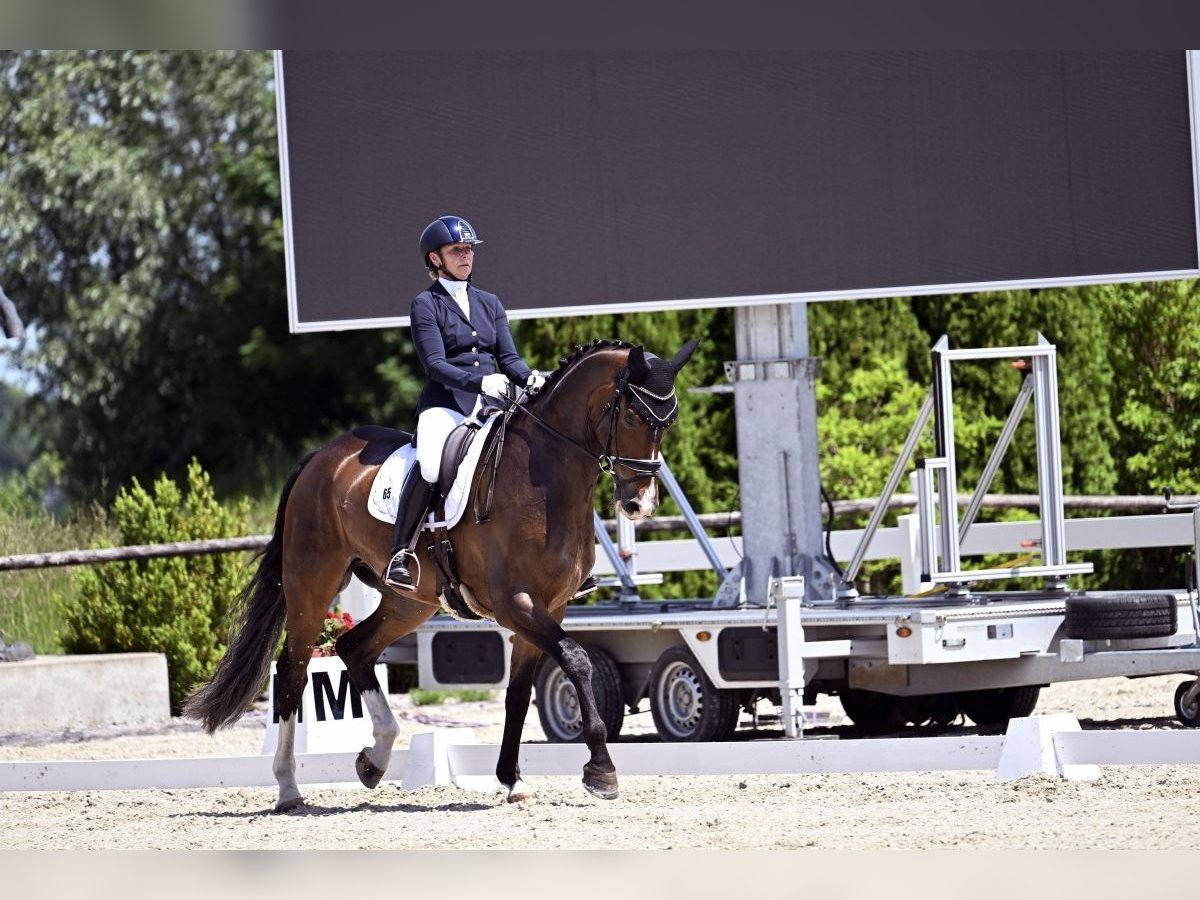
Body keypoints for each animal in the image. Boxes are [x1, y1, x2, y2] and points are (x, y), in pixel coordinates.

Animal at [182, 336, 700, 811]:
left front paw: (513, 780)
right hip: (312, 585)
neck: (544, 479)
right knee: (293, 671)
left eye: (668, 423)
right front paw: (601, 771)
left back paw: (374, 760)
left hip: (407, 601)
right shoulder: (515, 604)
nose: (639, 504)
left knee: (354, 647)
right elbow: (575, 659)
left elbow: (518, 695)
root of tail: (323, 455)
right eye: (631, 418)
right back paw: (289, 788)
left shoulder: (549, 608)